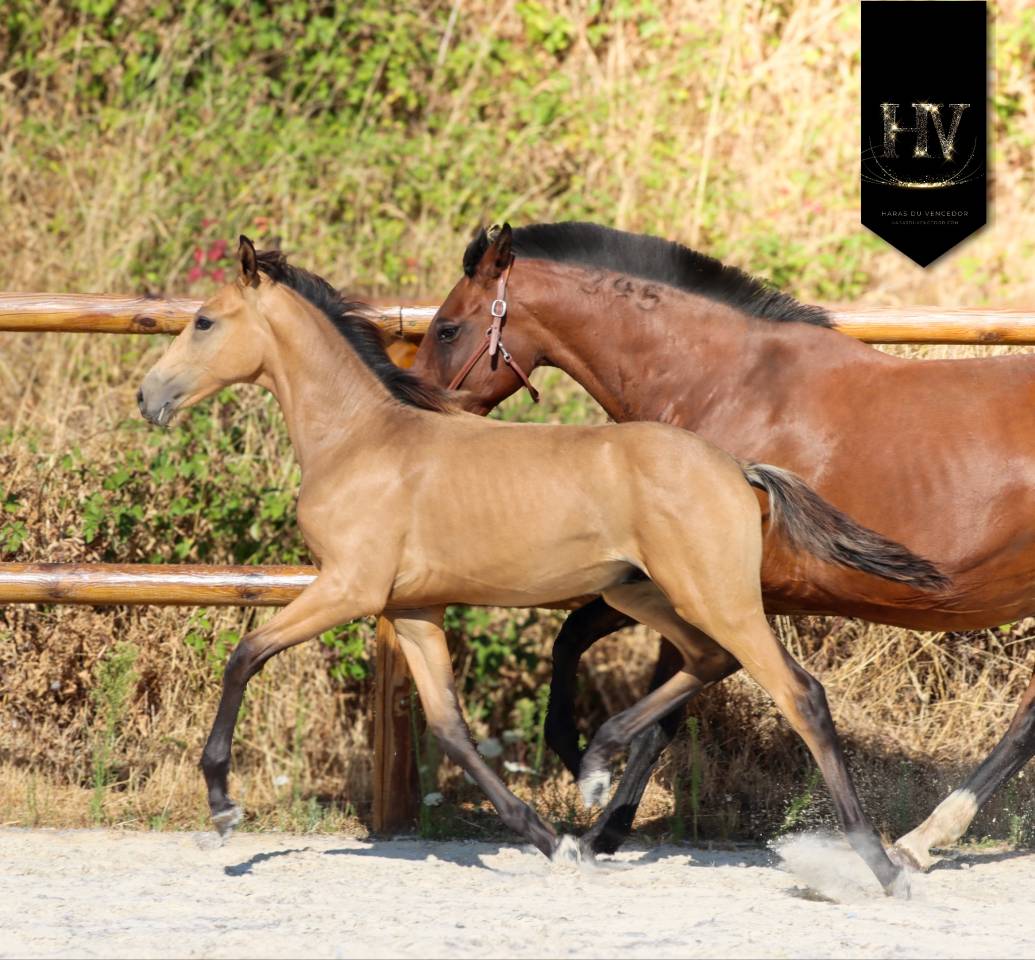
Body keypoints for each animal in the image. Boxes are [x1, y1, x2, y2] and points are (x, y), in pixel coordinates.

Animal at [137, 238, 946, 897]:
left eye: (204, 321)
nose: (149, 397)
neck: (361, 440)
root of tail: (737, 467)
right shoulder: (410, 610)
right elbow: (451, 729)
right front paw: (549, 840)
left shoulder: (347, 589)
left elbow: (244, 654)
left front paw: (223, 806)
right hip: (653, 595)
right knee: (706, 661)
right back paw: (595, 768)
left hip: (716, 598)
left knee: (799, 694)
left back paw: (880, 867)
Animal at [411, 220, 1035, 868]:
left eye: (448, 328)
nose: (416, 406)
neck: (729, 389)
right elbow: (584, 643)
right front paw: (583, 774)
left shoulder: (707, 587)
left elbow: (656, 703)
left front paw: (598, 808)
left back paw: (921, 840)